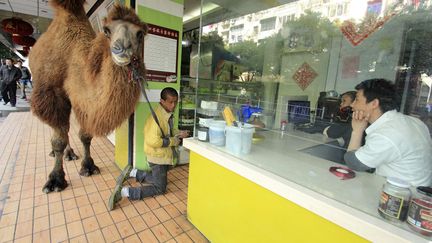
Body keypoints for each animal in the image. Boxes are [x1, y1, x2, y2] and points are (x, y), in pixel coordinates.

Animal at [28, 0, 148, 194]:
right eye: (106, 30)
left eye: (140, 33)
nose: (121, 48)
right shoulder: (53, 94)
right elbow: (59, 139)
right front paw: (55, 180)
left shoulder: (81, 103)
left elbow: (85, 136)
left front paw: (88, 166)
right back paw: (59, 153)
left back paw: (70, 154)